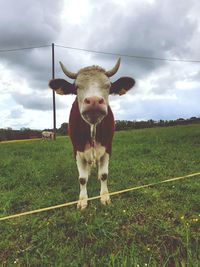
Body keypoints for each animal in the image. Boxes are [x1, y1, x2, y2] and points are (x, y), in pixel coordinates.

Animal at [49, 58, 135, 211]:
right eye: (77, 87)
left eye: (108, 86)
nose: (94, 100)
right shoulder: (77, 149)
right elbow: (82, 179)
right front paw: (83, 200)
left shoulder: (108, 147)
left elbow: (104, 174)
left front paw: (105, 197)